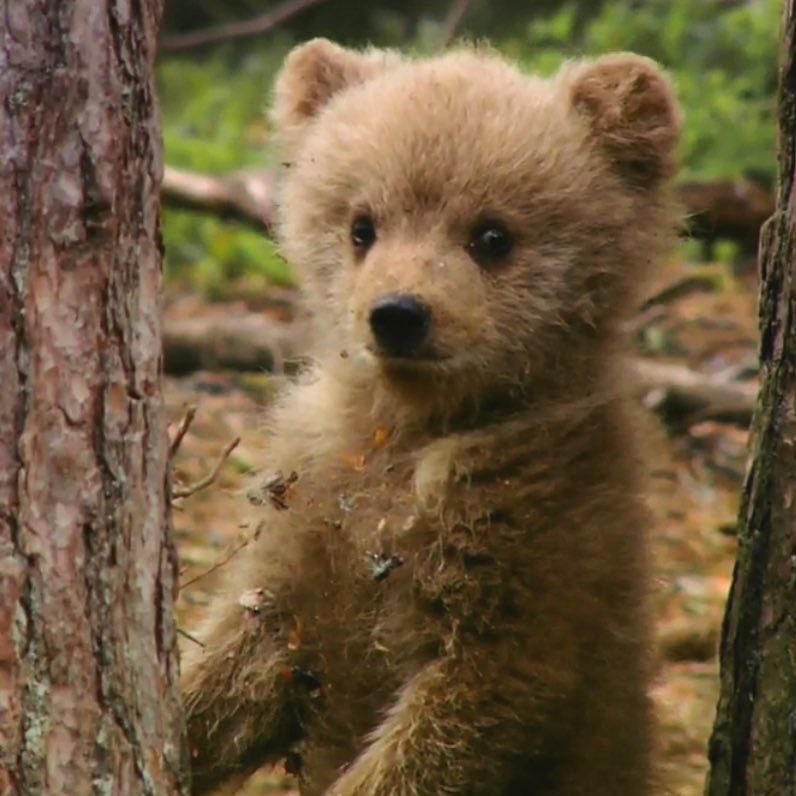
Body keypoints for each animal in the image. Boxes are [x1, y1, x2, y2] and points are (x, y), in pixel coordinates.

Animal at [181, 38, 682, 796]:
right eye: (361, 225)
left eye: (493, 234)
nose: (398, 314)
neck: (407, 430)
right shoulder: (309, 514)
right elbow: (243, 658)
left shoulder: (531, 548)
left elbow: (460, 716)